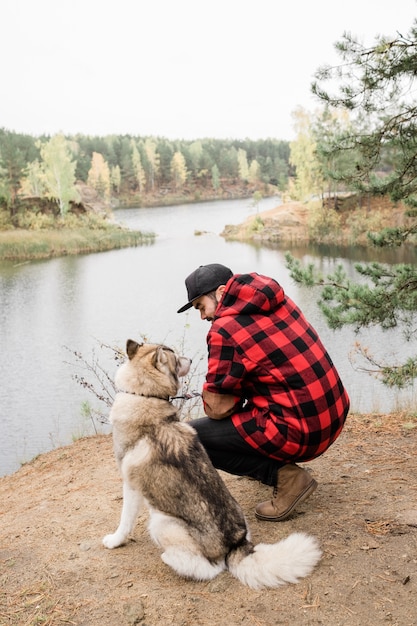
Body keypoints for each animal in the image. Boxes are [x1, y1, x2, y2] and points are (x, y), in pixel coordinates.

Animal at [102, 338, 320, 588]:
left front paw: (114, 540)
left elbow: (124, 521)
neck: (144, 396)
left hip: (161, 522)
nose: (190, 359)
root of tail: (235, 545)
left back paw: (170, 558)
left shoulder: (131, 486)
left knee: (207, 569)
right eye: (176, 357)